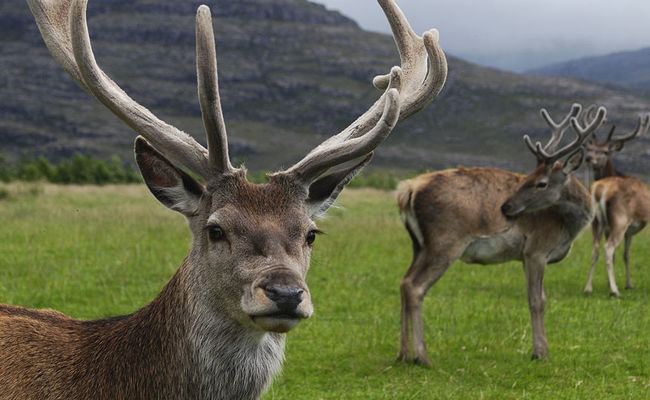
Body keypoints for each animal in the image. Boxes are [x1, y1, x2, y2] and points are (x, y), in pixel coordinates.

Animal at [394, 104, 604, 366]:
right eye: (528, 177)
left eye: (541, 182)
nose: (506, 207)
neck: (567, 226)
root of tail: (407, 191)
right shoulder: (537, 249)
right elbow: (537, 300)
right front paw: (540, 352)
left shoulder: (525, 256)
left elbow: (539, 297)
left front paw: (541, 349)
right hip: (445, 242)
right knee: (415, 286)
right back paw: (422, 356)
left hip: (419, 245)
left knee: (403, 282)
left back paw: (403, 354)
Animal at [580, 108, 648, 296]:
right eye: (590, 149)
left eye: (605, 151)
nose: (588, 158)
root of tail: (599, 189)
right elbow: (622, 254)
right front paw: (623, 284)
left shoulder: (629, 231)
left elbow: (625, 255)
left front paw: (629, 283)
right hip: (620, 219)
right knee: (608, 249)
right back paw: (614, 290)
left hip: (597, 222)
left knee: (595, 248)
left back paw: (588, 288)